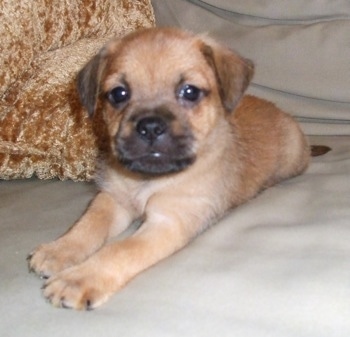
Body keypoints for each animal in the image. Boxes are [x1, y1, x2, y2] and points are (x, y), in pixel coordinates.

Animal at [28, 27, 312, 308]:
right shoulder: (112, 200)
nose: (150, 127)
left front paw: (78, 279)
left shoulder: (167, 223)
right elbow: (88, 225)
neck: (148, 180)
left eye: (190, 92)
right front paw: (59, 250)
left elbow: (120, 249)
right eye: (119, 94)